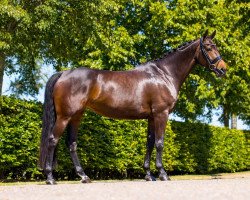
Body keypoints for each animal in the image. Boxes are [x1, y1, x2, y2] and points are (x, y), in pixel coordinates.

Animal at [38, 30, 227, 184]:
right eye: (209, 47)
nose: (223, 69)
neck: (164, 74)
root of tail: (63, 73)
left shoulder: (152, 117)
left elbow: (149, 143)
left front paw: (149, 175)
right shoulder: (161, 114)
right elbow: (159, 143)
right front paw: (162, 174)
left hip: (76, 116)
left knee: (71, 143)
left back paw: (83, 176)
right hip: (64, 117)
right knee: (52, 140)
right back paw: (50, 177)